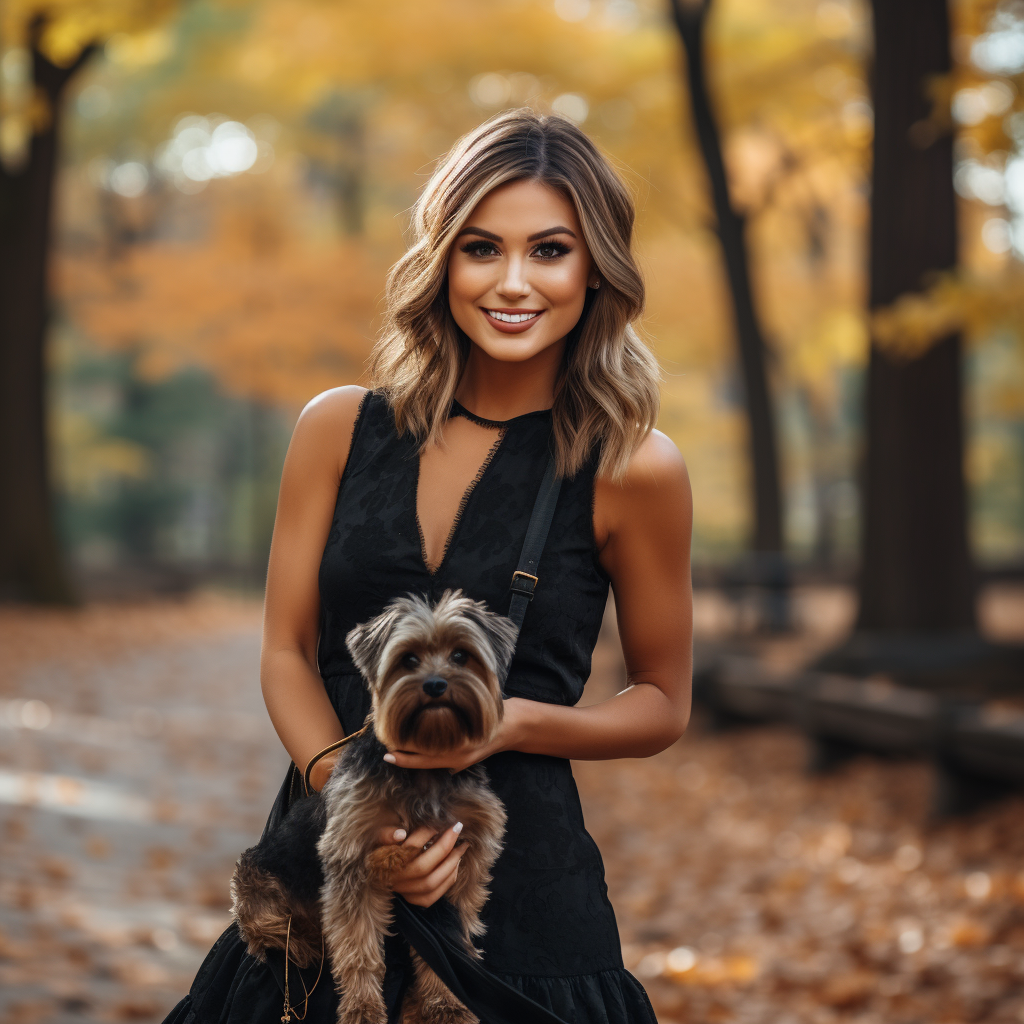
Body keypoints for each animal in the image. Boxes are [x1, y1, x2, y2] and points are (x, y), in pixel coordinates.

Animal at [234, 589, 516, 1024]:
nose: (436, 684)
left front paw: (446, 1005)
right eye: (408, 660)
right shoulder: (353, 862)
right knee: (266, 929)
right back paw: (301, 944)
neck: (426, 769)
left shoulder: (464, 861)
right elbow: (357, 949)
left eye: (461, 656)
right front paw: (362, 1011)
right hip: (255, 878)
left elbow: (450, 945)